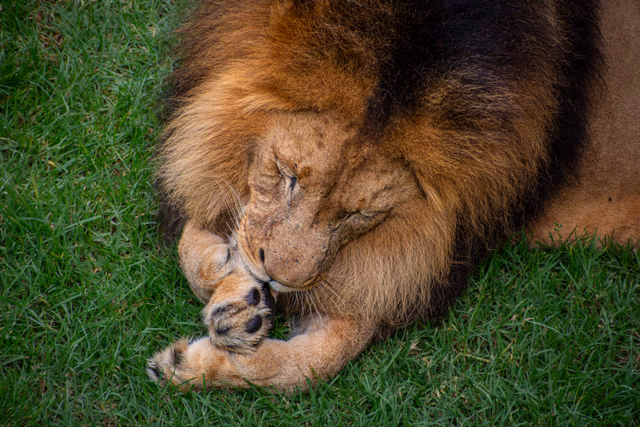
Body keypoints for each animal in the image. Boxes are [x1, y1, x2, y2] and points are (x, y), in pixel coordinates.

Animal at [147, 0, 640, 392]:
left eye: (357, 215)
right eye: (288, 176)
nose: (277, 279)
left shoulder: (421, 256)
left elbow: (312, 365)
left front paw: (193, 361)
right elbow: (195, 231)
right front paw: (232, 285)